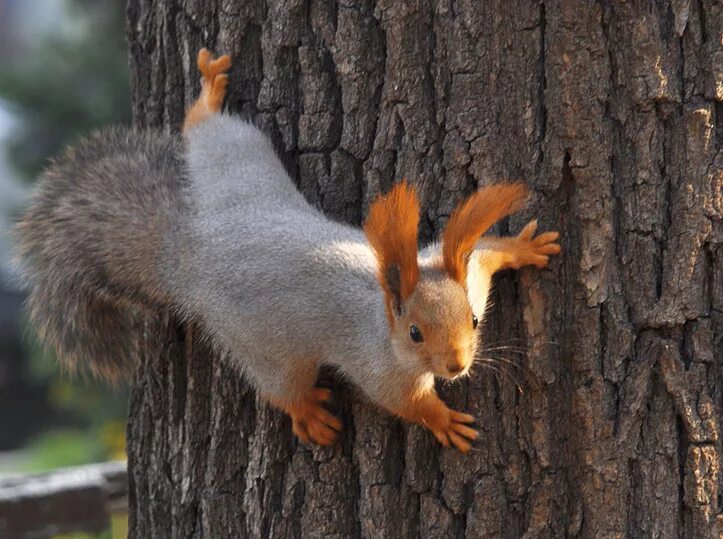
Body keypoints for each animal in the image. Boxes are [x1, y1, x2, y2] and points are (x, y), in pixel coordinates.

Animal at [15, 50, 560, 454]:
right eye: (414, 333)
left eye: (474, 319)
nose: (456, 367)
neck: (383, 304)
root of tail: (189, 248)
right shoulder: (377, 364)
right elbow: (401, 401)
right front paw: (442, 419)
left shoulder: (465, 272)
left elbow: (486, 253)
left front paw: (524, 247)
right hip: (264, 343)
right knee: (278, 387)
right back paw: (308, 413)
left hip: (238, 165)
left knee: (209, 131)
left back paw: (209, 93)